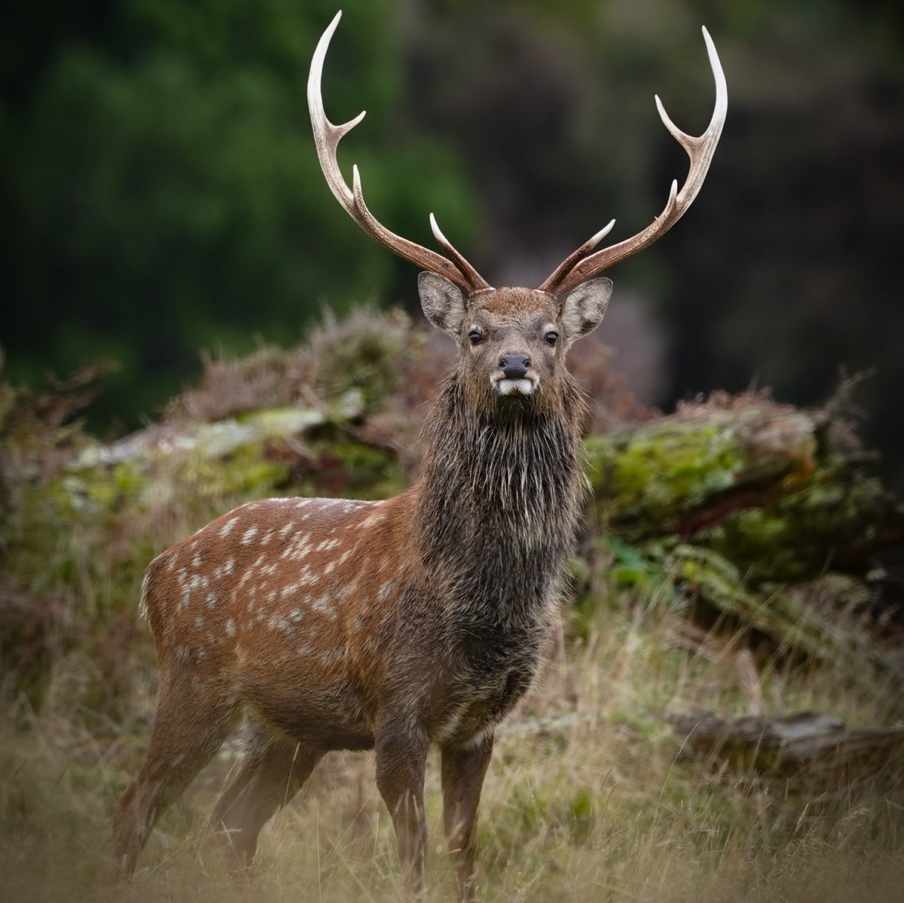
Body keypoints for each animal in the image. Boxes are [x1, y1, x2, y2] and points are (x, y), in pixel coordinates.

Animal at [113, 10, 727, 900]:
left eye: (552, 334)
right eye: (475, 332)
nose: (515, 364)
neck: (479, 603)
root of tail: (156, 572)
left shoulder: (481, 723)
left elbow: (465, 855)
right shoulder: (397, 710)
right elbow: (411, 859)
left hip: (290, 726)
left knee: (228, 821)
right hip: (195, 678)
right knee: (138, 802)